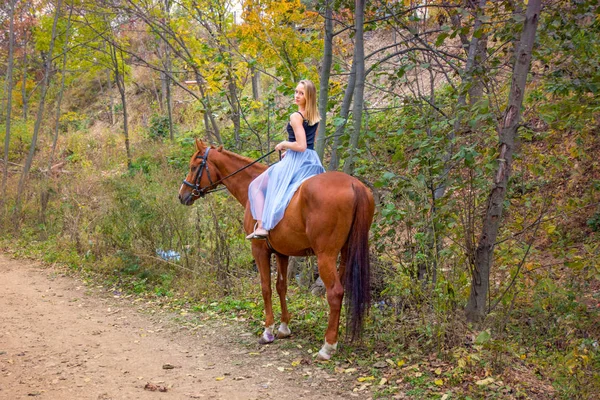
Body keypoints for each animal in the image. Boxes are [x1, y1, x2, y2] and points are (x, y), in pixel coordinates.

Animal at [179, 140, 376, 360]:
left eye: (194, 167)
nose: (182, 195)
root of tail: (354, 184)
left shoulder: (259, 250)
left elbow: (266, 287)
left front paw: (268, 331)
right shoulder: (282, 252)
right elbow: (281, 286)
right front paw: (283, 328)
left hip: (326, 256)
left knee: (335, 293)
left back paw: (327, 347)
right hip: (346, 253)